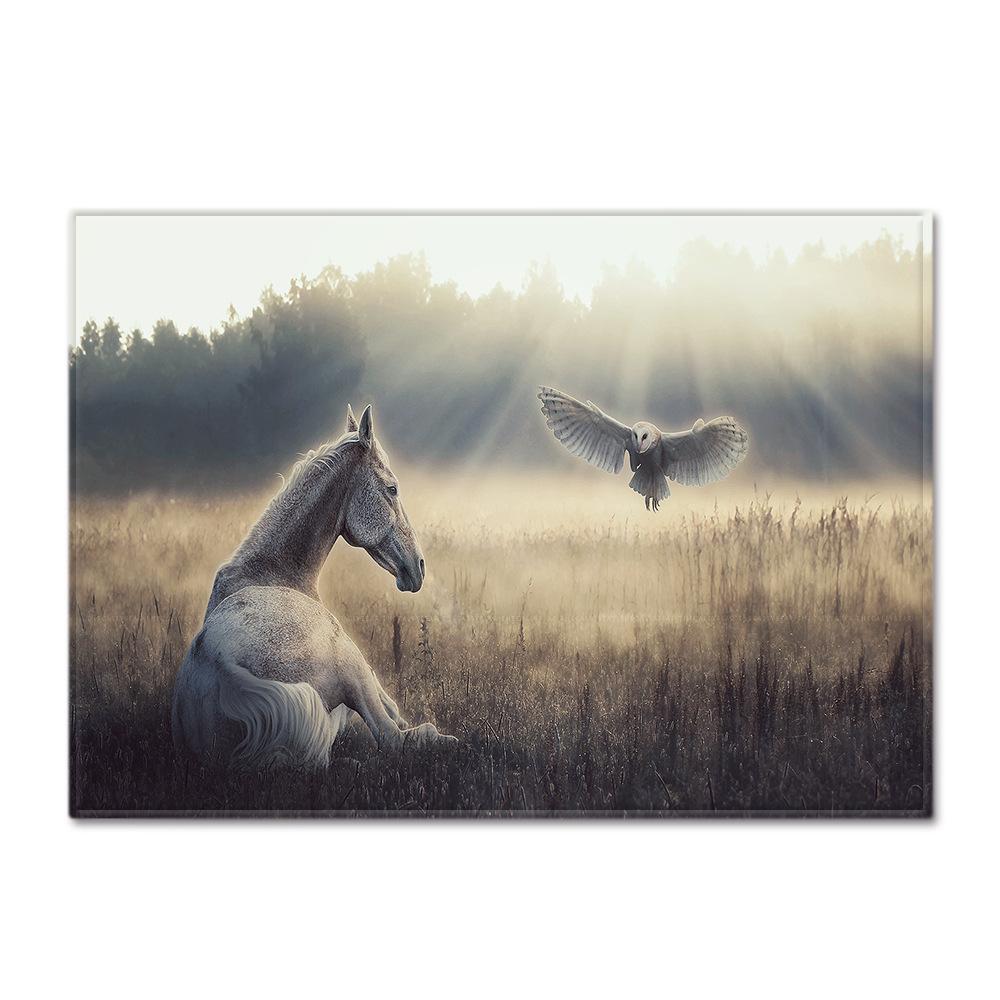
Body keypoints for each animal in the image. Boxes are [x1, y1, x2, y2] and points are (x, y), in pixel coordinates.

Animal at [171, 403, 456, 768]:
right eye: (392, 489)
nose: (417, 567)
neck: (270, 572)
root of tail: (223, 663)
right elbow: (392, 714)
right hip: (349, 661)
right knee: (393, 737)